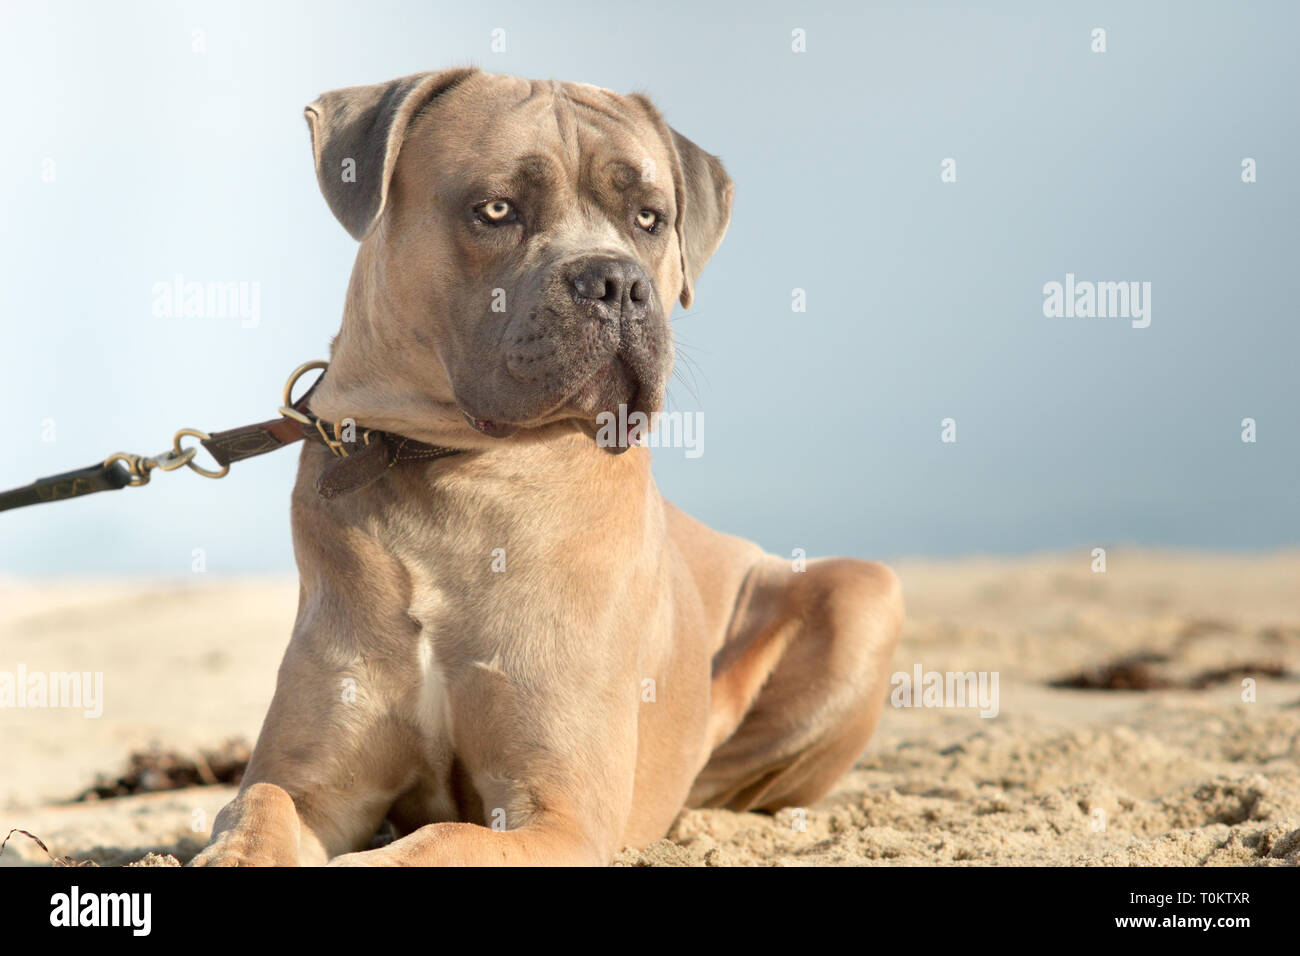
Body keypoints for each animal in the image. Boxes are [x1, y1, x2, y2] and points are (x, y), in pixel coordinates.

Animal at [189, 69, 904, 868]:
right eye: (496, 208)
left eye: (650, 218)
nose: (616, 282)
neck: (459, 471)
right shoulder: (314, 778)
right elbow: (261, 807)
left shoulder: (561, 812)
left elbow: (432, 845)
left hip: (863, 592)